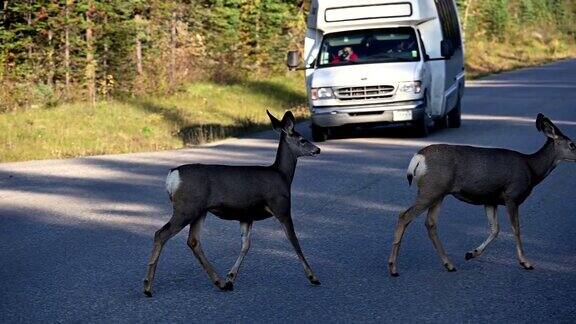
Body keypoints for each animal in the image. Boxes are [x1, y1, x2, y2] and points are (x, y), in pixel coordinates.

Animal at [143, 110, 324, 296]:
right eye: (302, 140)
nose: (318, 149)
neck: (283, 176)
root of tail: (172, 176)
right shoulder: (281, 207)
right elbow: (294, 241)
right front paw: (313, 277)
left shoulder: (246, 215)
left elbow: (246, 245)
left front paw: (230, 278)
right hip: (186, 208)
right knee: (161, 234)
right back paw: (148, 287)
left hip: (199, 210)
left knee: (193, 240)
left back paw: (220, 282)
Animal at [390, 113, 572, 276]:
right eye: (571, 144)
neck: (532, 170)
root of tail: (418, 158)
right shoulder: (511, 195)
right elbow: (516, 228)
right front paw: (525, 262)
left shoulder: (490, 200)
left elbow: (495, 229)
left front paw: (471, 253)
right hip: (431, 190)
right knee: (404, 216)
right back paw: (393, 269)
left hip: (438, 193)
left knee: (430, 223)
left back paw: (449, 264)